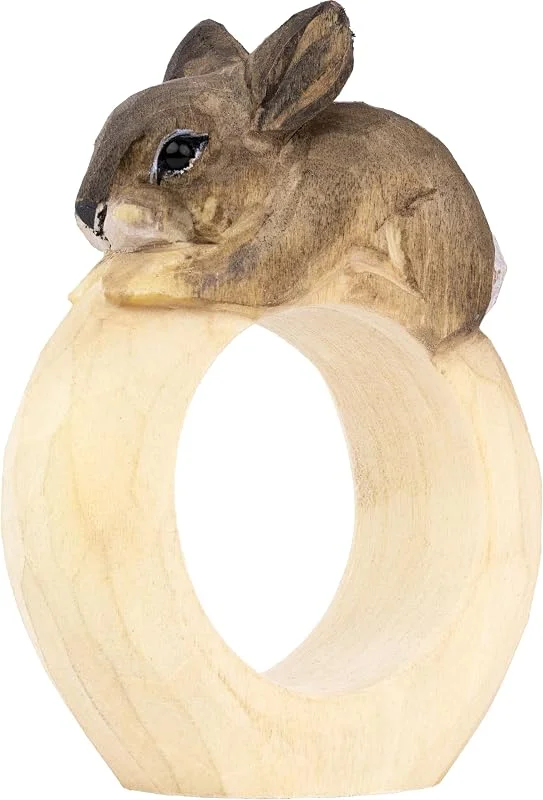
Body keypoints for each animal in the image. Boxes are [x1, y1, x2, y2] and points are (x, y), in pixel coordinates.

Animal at [74, 1, 497, 347]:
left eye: (178, 153)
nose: (85, 214)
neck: (284, 172)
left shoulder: (306, 221)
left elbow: (205, 273)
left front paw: (117, 283)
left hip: (423, 222)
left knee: (432, 320)